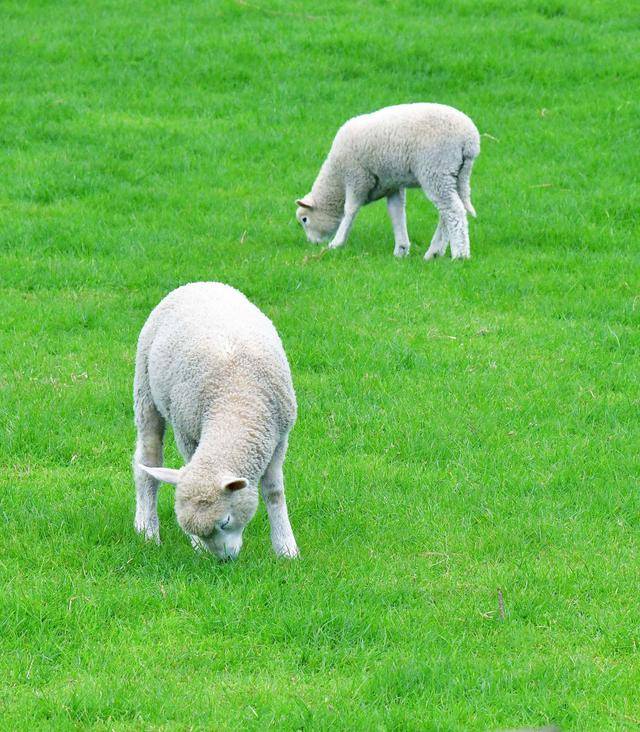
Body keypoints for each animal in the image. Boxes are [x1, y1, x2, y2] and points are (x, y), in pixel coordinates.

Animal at [132, 280, 300, 560]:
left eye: (225, 521)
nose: (224, 561)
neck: (235, 403)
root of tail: (197, 283)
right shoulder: (188, 432)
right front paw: (197, 547)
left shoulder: (279, 439)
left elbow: (274, 492)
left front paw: (286, 549)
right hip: (145, 393)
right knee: (147, 462)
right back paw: (147, 529)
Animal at [296, 101, 480, 262]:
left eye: (304, 220)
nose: (312, 243)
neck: (336, 179)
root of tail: (470, 140)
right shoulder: (392, 185)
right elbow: (396, 212)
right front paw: (401, 249)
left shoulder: (357, 177)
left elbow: (350, 209)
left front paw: (336, 243)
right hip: (454, 175)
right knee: (448, 211)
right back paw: (434, 253)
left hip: (436, 170)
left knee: (453, 210)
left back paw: (460, 255)